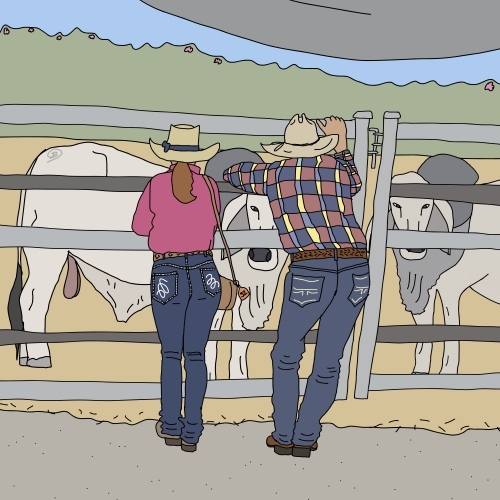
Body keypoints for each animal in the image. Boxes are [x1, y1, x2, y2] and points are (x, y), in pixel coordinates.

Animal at [366, 154, 500, 374]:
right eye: (395, 204)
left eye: (426, 206)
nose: (415, 250)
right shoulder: (423, 285)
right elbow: (424, 328)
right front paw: (419, 371)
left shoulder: (451, 287)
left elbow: (451, 329)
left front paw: (448, 373)